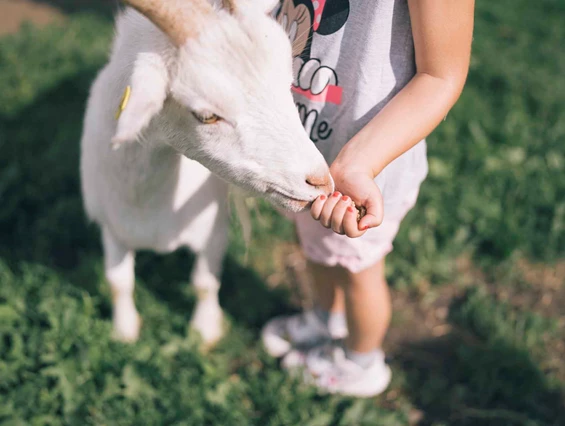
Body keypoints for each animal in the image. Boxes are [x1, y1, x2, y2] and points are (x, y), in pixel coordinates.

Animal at [81, 0, 332, 342]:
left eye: (289, 84)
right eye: (207, 115)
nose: (320, 182)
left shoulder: (213, 229)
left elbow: (204, 282)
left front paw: (205, 331)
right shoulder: (111, 226)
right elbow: (118, 282)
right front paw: (124, 331)